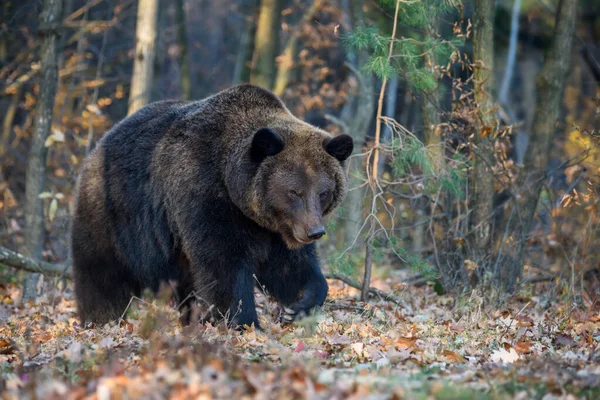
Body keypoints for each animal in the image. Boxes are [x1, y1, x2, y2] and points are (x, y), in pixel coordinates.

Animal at [71, 83, 352, 328]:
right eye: (294, 192)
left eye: (323, 192)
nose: (314, 232)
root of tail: (99, 145)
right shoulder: (204, 195)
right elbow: (223, 264)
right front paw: (243, 322)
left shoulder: (275, 229)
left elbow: (290, 267)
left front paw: (300, 304)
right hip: (113, 215)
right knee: (102, 274)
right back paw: (101, 319)